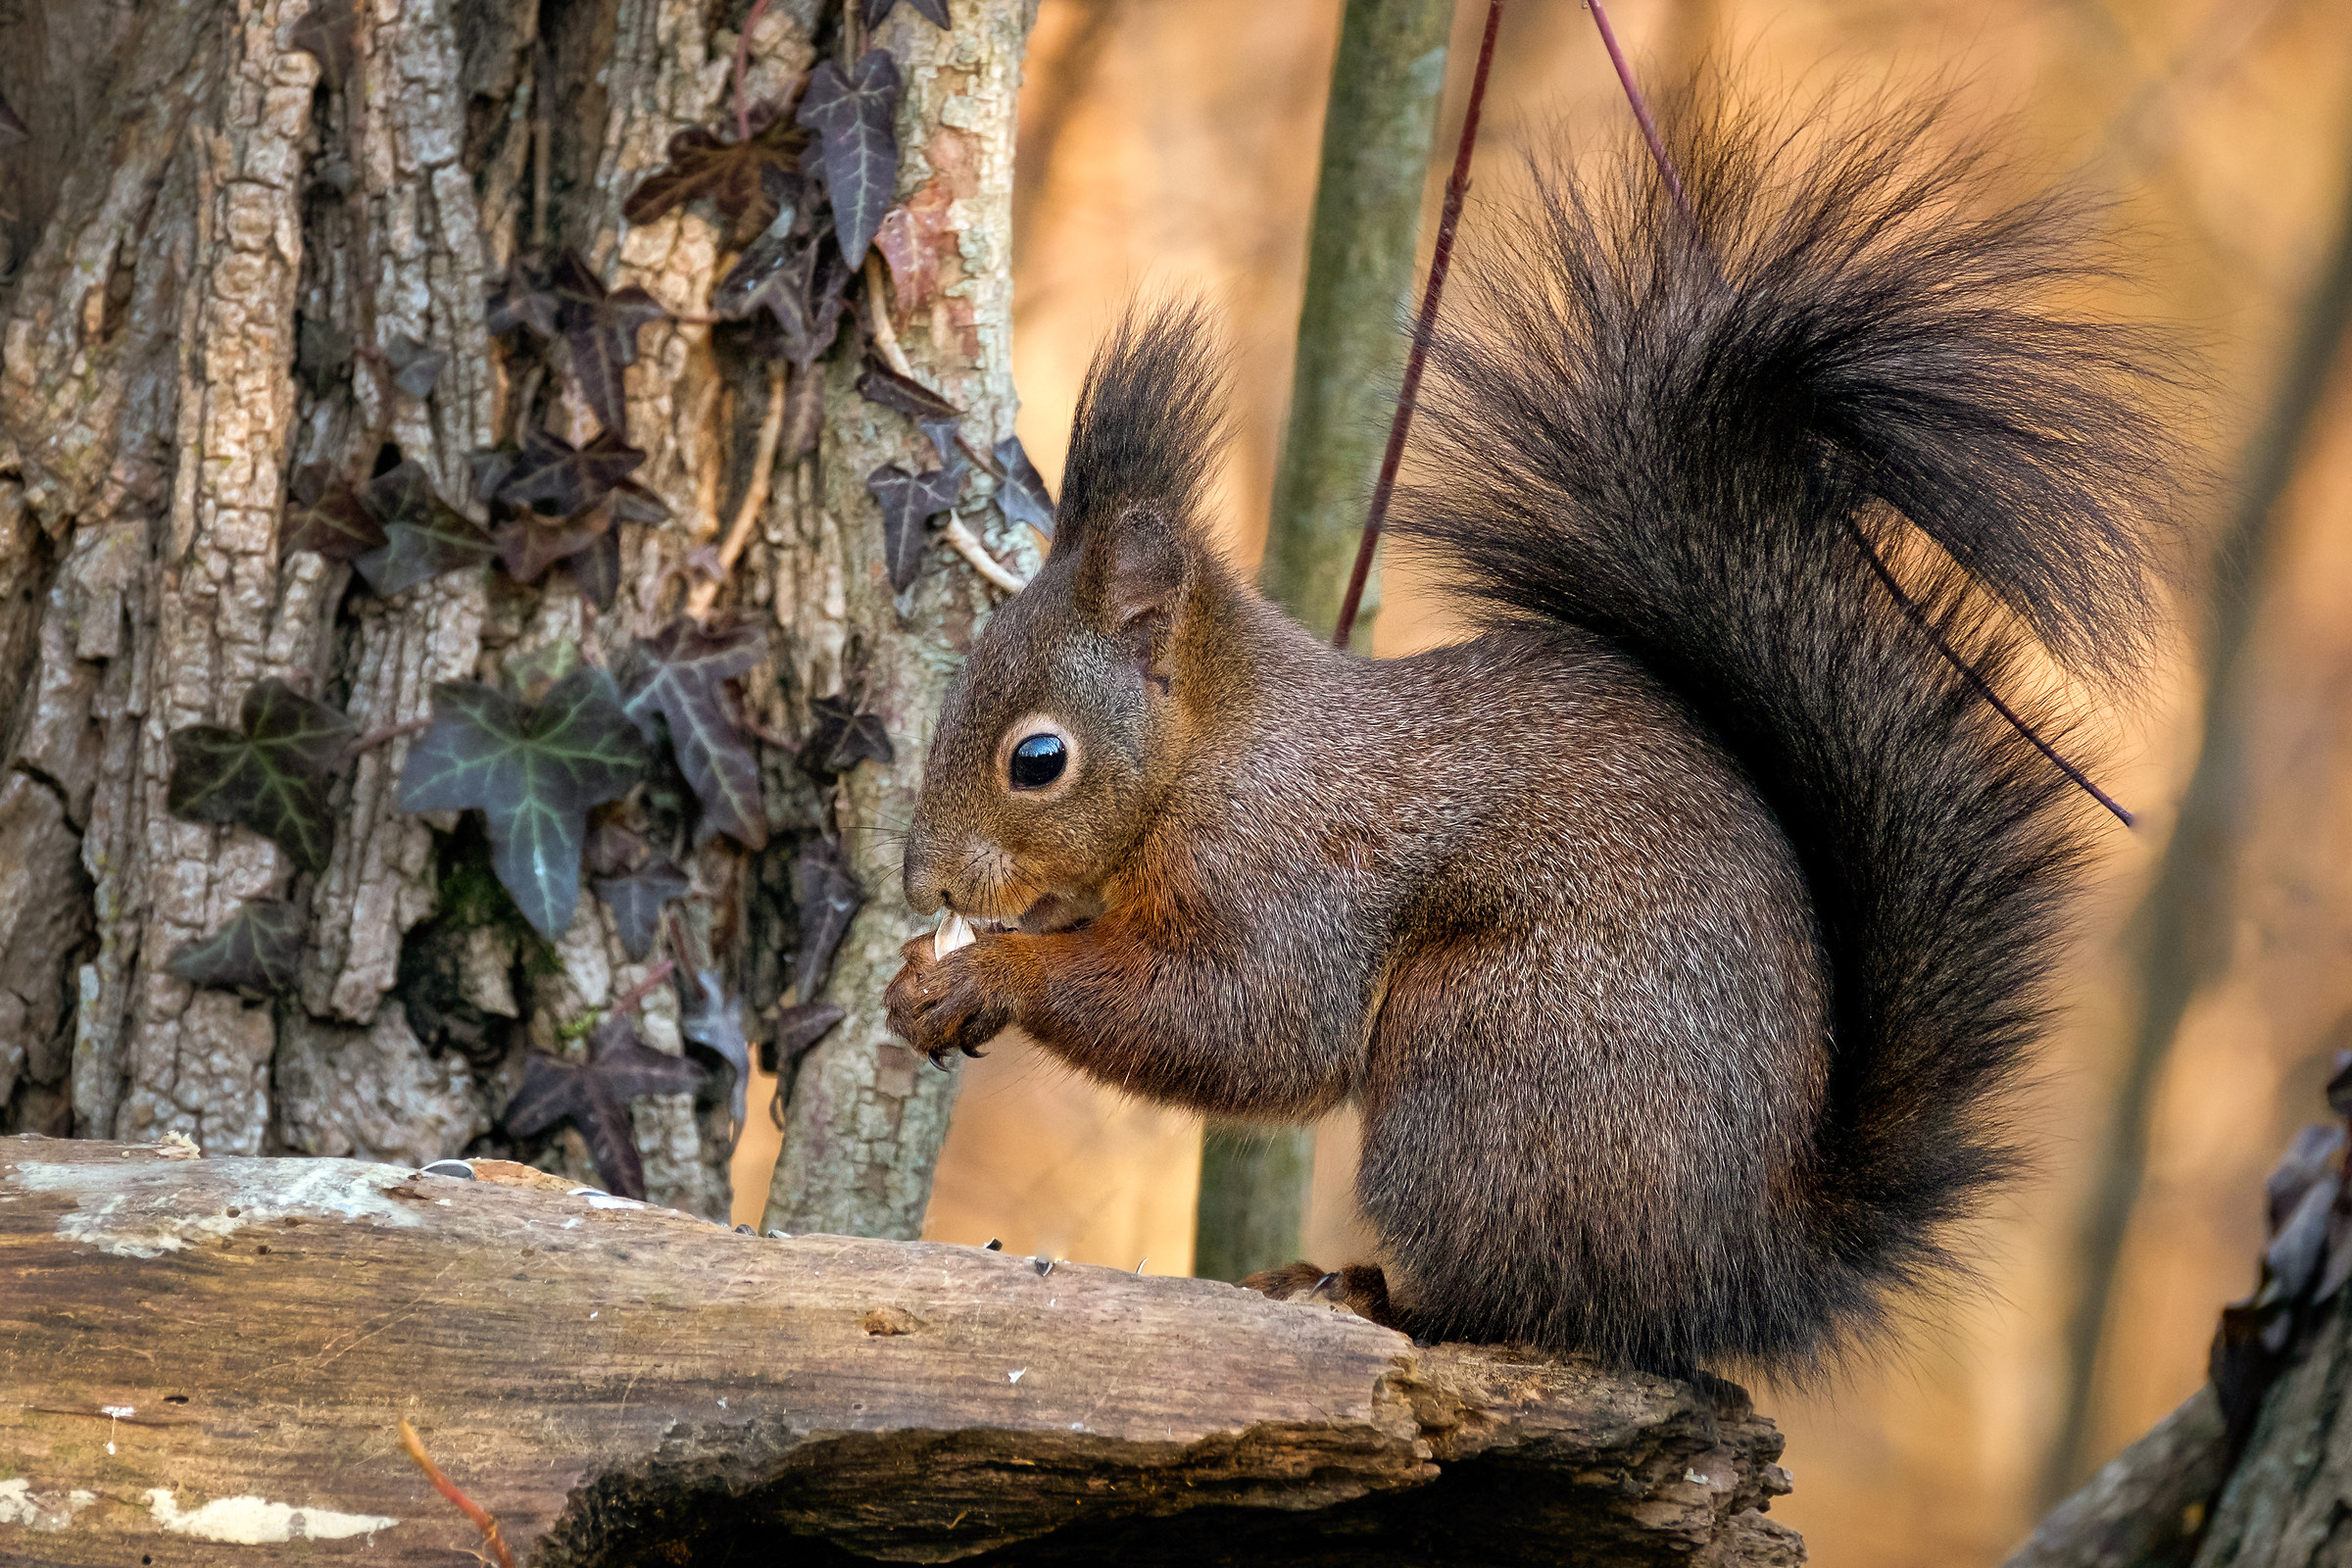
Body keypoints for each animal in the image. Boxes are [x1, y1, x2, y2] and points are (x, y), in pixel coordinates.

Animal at [883, 95, 2172, 1377]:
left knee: (1515, 1302)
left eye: (1037, 760)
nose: (924, 880)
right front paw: (927, 977)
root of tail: (1738, 1270)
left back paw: (1368, 1294)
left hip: (1482, 1048)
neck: (1212, 758)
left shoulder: (1286, 873)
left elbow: (1246, 1023)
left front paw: (992, 971)